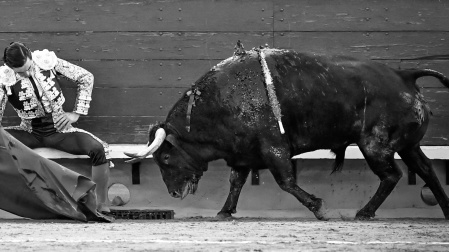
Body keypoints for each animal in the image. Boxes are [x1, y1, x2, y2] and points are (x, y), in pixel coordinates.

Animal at [124, 46, 448, 220]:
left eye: (165, 159)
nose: (174, 194)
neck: (221, 100)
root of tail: (404, 76)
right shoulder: (243, 154)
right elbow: (235, 182)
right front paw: (225, 211)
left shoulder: (274, 149)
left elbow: (286, 182)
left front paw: (319, 208)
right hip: (407, 145)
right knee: (426, 170)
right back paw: (445, 210)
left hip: (375, 145)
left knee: (392, 175)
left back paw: (364, 212)